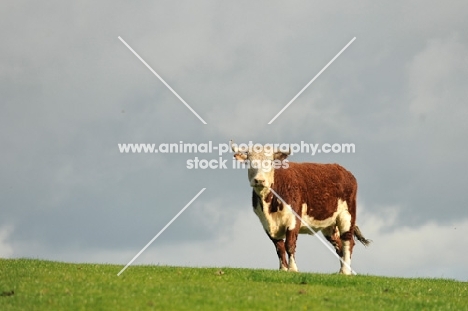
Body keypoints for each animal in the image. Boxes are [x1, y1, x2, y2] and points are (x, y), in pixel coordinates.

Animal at [232, 143, 372, 274]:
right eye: (249, 162)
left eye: (271, 162)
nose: (259, 180)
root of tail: (343, 170)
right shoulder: (266, 224)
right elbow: (279, 247)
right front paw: (283, 269)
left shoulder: (294, 218)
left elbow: (289, 245)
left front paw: (293, 269)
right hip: (330, 224)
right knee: (339, 245)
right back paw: (342, 270)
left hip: (347, 215)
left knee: (348, 241)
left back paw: (345, 271)